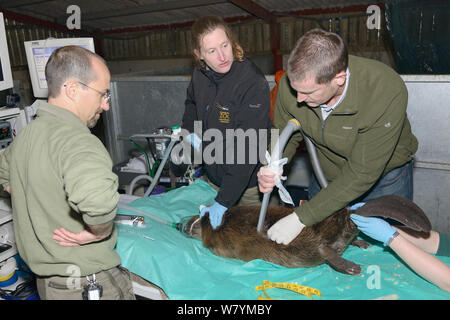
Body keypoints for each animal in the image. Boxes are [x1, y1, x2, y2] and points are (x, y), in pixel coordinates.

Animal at [184, 195, 432, 276]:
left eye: (189, 224)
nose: (179, 224)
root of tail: (348, 215)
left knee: (326, 250)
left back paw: (352, 267)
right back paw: (361, 244)